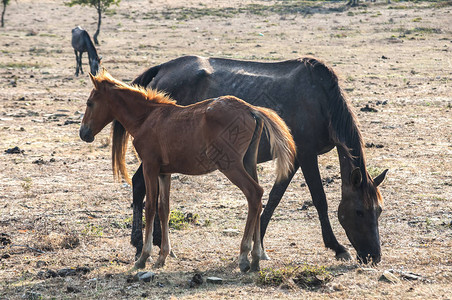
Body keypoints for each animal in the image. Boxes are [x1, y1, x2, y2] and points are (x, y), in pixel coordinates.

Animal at [117, 55, 388, 264]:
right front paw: (337, 247)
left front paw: (260, 244)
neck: (321, 100)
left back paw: (155, 241)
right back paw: (140, 243)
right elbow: (319, 200)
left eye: (379, 210)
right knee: (140, 184)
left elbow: (273, 197)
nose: (374, 256)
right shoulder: (307, 154)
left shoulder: (293, 159)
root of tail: (162, 69)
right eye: (359, 211)